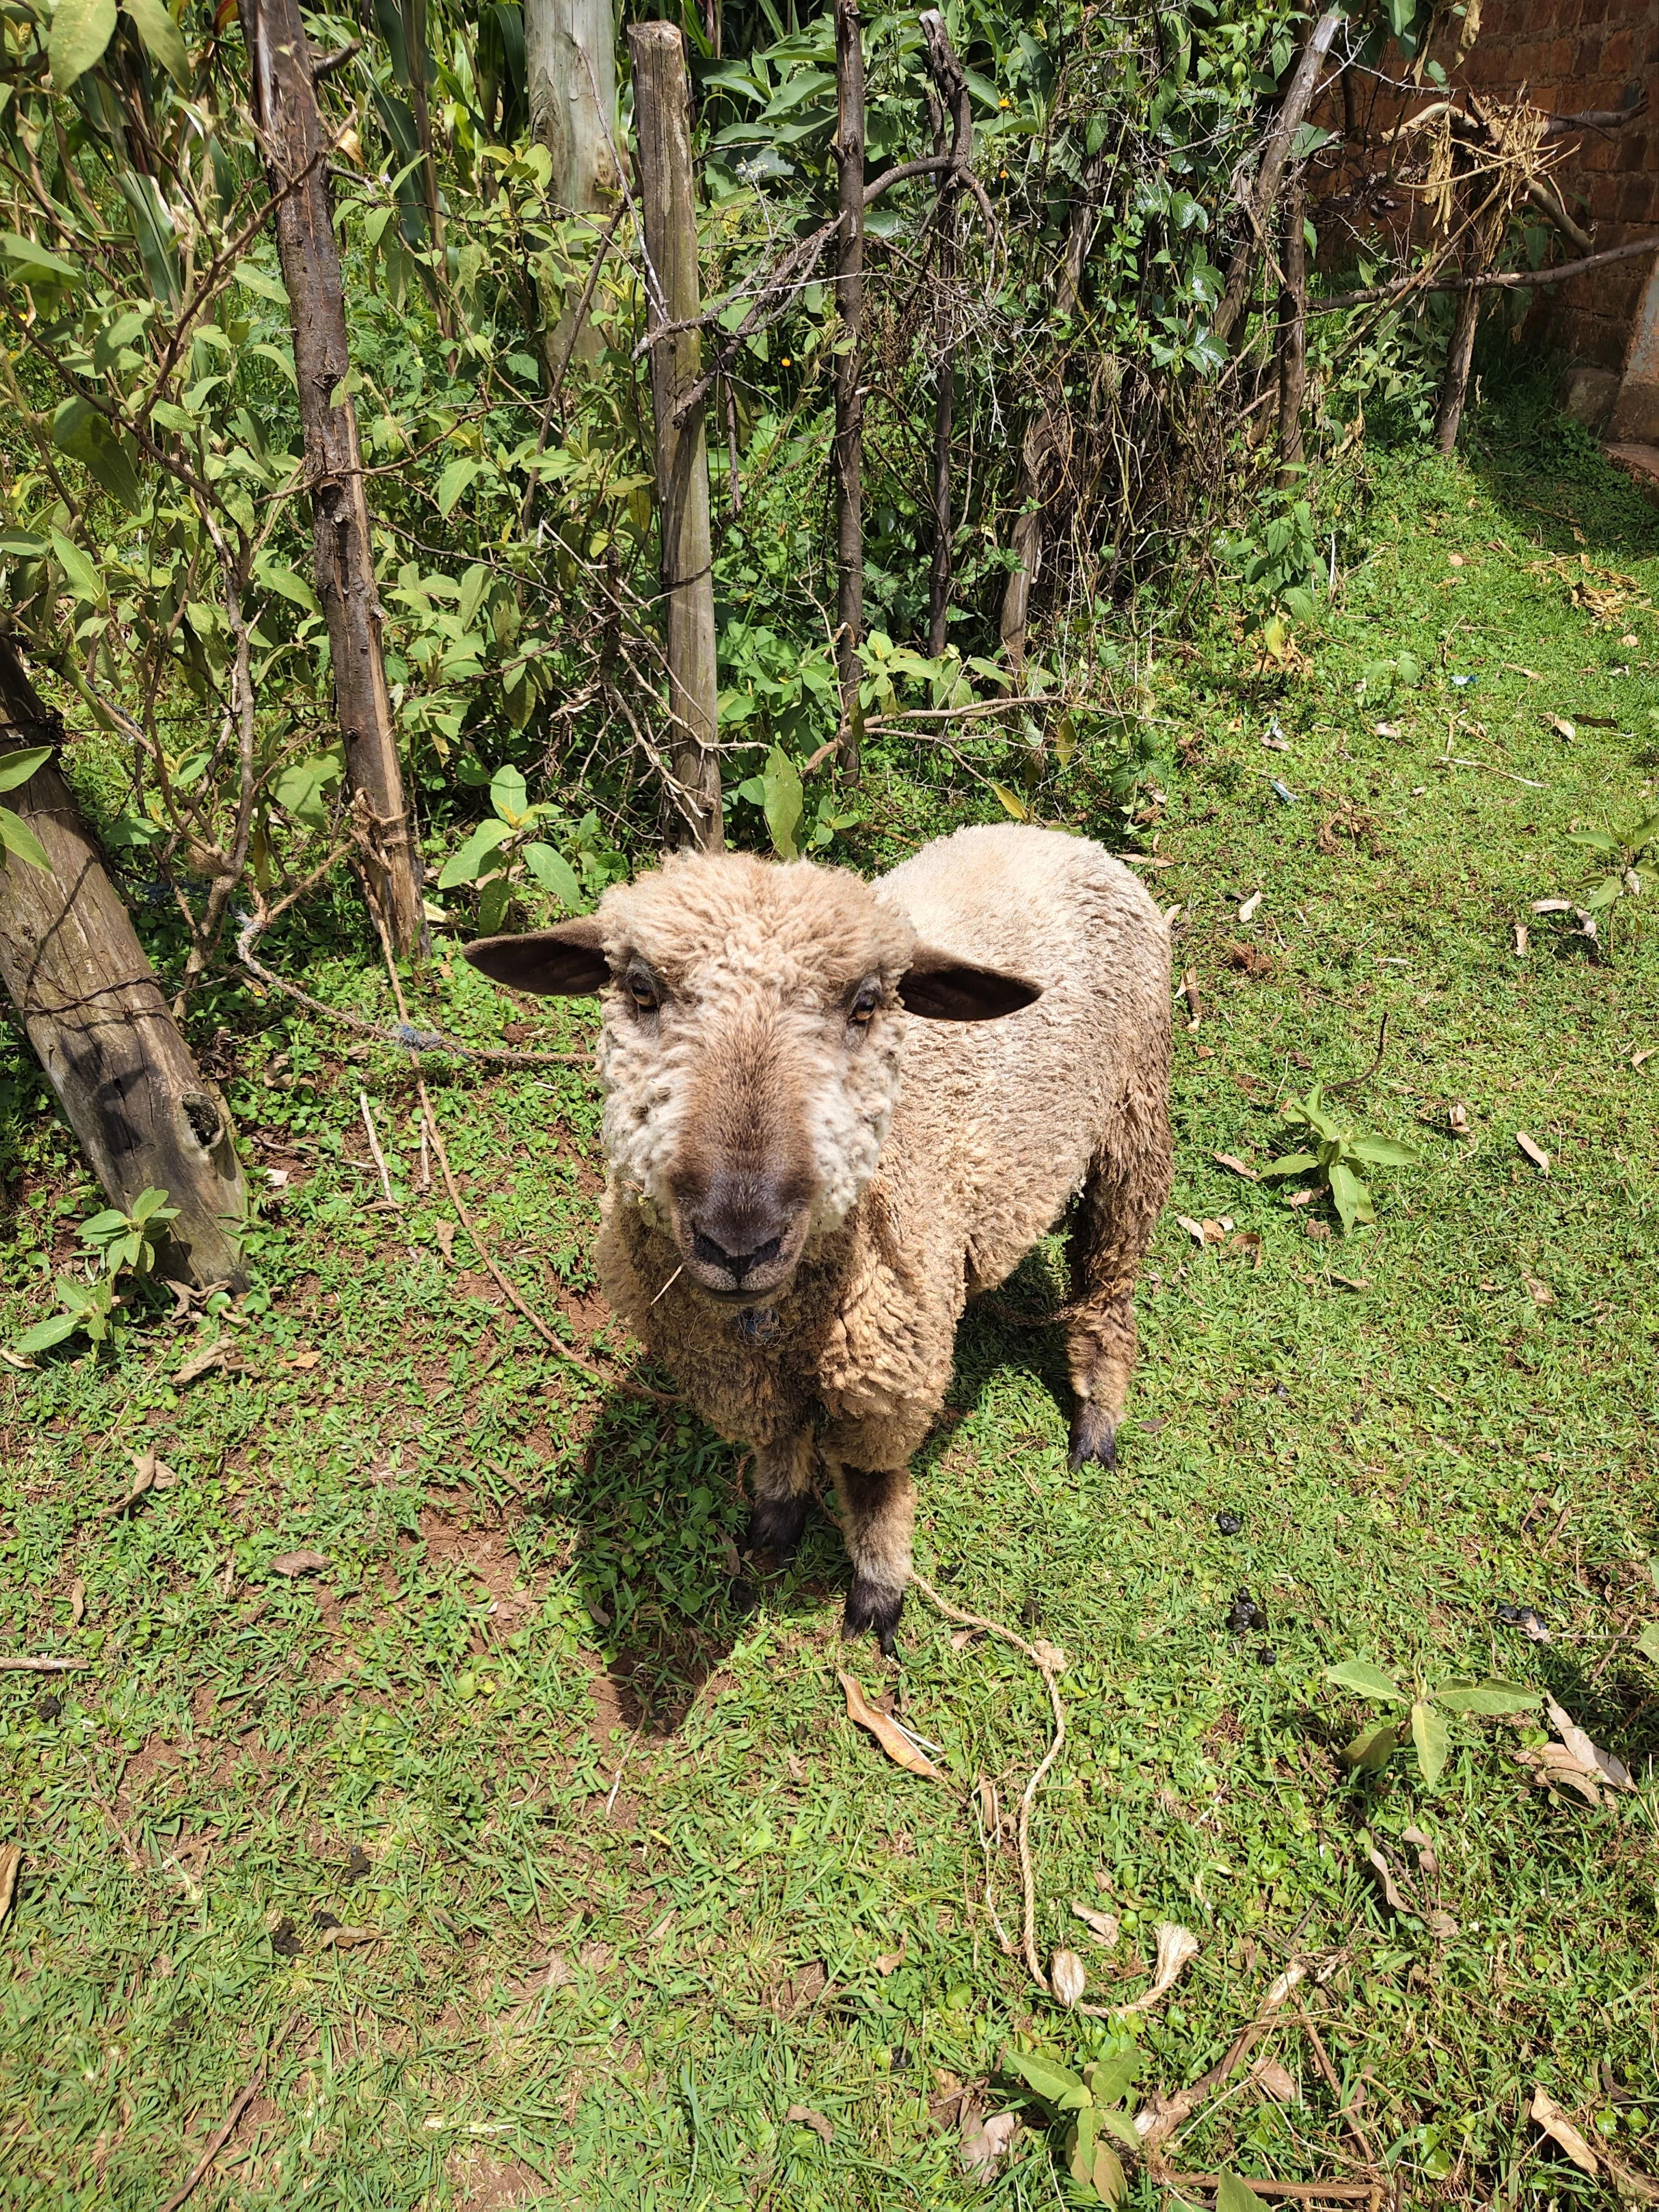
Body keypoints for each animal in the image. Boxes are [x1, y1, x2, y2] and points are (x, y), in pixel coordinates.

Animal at [465, 822, 1172, 1654]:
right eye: (640, 988)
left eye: (866, 1003)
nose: (741, 1239)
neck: (781, 1323)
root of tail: (1056, 836)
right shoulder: (735, 1367)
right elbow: (776, 1440)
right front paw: (775, 1522)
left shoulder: (890, 1373)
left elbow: (872, 1485)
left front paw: (878, 1590)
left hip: (1135, 1115)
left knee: (1109, 1280)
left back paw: (1097, 1421)